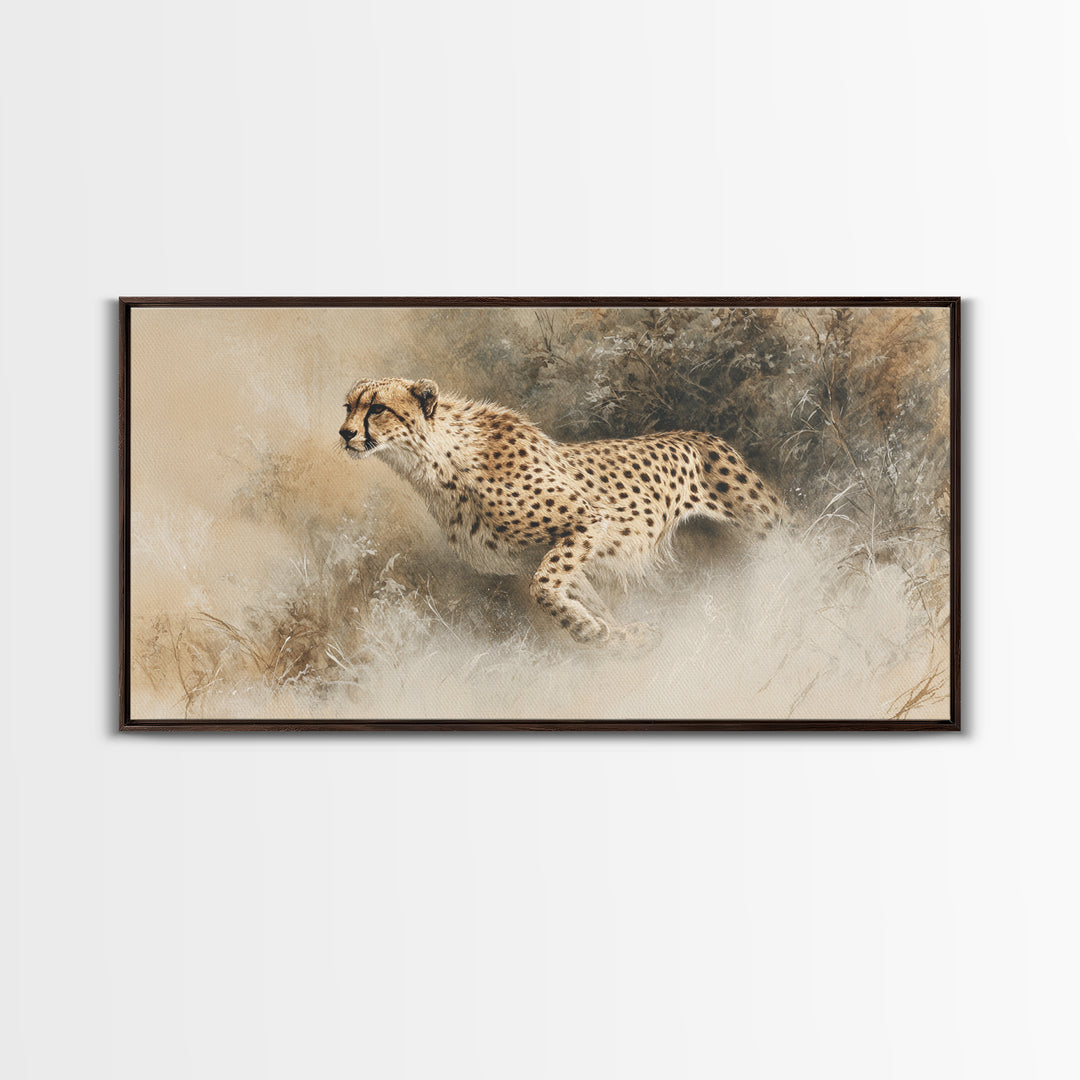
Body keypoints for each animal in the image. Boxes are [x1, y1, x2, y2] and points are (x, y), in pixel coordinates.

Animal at [339, 377, 784, 646]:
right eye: (348, 407)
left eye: (377, 408)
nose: (344, 433)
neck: (438, 462)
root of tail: (702, 433)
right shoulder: (542, 554)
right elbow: (581, 595)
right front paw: (619, 636)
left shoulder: (587, 521)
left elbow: (543, 589)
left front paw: (591, 632)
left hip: (765, 527)